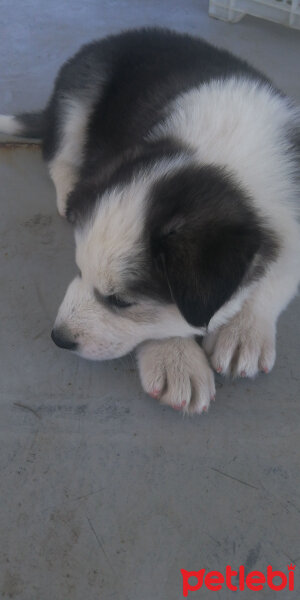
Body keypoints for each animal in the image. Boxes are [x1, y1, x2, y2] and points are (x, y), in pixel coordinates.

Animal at [0, 28, 300, 412]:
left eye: (121, 301)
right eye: (79, 269)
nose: (59, 337)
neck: (224, 157)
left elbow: (278, 277)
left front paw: (243, 333)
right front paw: (175, 359)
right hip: (78, 94)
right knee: (56, 151)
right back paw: (70, 188)